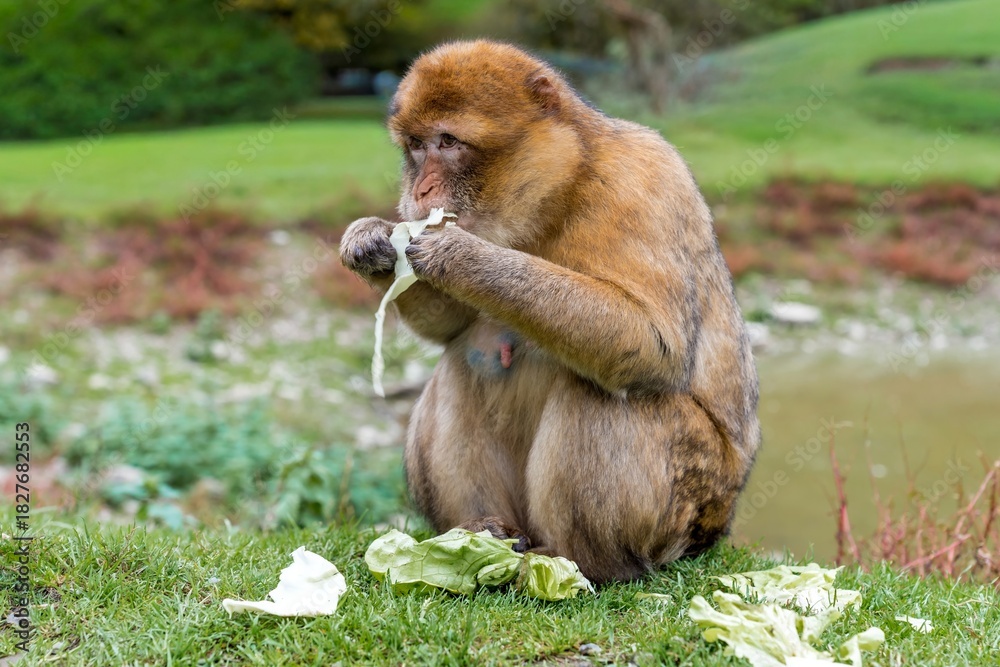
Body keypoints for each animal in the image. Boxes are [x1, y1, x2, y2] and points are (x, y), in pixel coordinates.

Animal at [339, 40, 760, 584]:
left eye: (448, 142)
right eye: (416, 146)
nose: (421, 191)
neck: (562, 188)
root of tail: (720, 519)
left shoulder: (643, 180)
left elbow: (655, 343)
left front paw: (460, 256)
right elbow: (452, 328)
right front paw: (372, 243)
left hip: (688, 505)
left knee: (604, 390)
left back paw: (578, 562)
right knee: (464, 362)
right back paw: (486, 533)